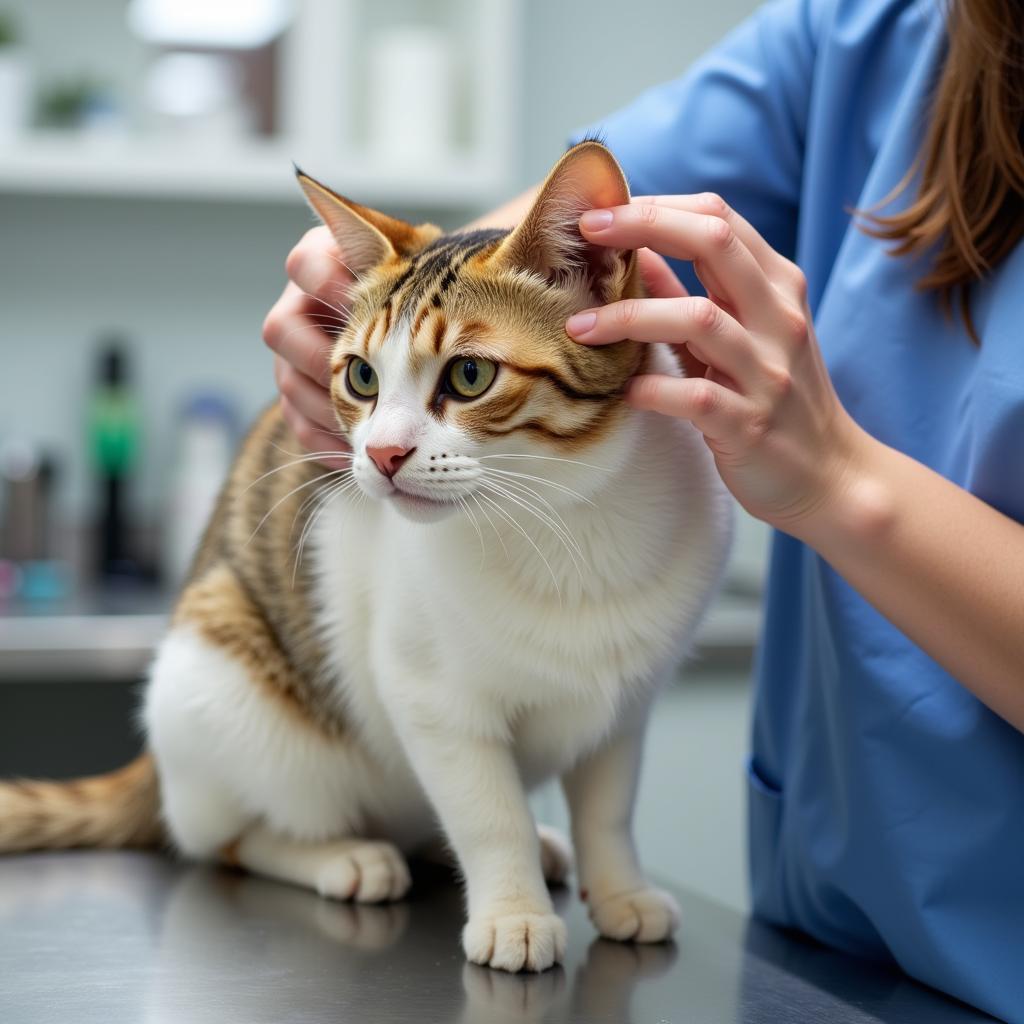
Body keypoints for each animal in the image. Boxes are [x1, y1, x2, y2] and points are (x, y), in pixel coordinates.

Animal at [2, 140, 737, 970]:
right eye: (361, 376)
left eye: (470, 375)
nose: (382, 455)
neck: (566, 519)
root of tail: (156, 766)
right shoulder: (432, 700)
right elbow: (490, 815)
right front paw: (513, 911)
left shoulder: (624, 709)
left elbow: (609, 811)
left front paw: (620, 891)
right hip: (219, 685)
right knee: (229, 839)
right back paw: (343, 857)